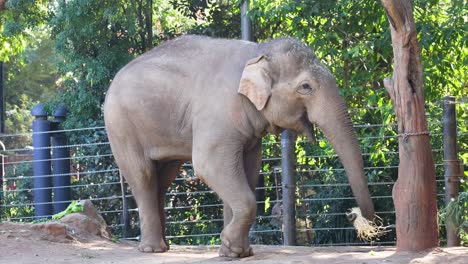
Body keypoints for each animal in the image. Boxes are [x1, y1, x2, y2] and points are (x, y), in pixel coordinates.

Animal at [104, 35, 374, 258]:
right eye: (306, 87)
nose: (354, 215)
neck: (258, 51)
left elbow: (248, 170)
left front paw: (236, 252)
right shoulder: (217, 113)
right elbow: (210, 166)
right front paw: (231, 246)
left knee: (164, 178)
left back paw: (165, 246)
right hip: (120, 126)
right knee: (143, 175)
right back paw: (153, 249)